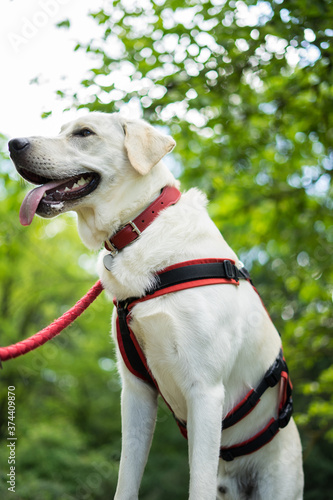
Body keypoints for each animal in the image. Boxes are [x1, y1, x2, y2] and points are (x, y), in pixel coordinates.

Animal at [8, 113, 304, 500]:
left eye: (84, 133)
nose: (13, 144)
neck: (142, 226)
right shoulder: (136, 391)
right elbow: (126, 478)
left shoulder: (205, 389)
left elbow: (198, 485)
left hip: (278, 480)